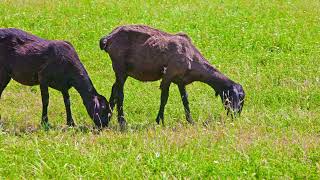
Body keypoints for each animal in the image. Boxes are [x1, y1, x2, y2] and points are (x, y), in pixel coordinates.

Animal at [100, 24, 245, 129]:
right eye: (236, 98)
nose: (235, 116)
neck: (192, 57)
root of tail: (108, 38)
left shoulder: (181, 80)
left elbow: (185, 100)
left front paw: (191, 121)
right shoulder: (168, 75)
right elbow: (164, 98)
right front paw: (159, 121)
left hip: (122, 71)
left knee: (114, 90)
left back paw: (106, 119)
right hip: (120, 67)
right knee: (120, 94)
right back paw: (122, 122)